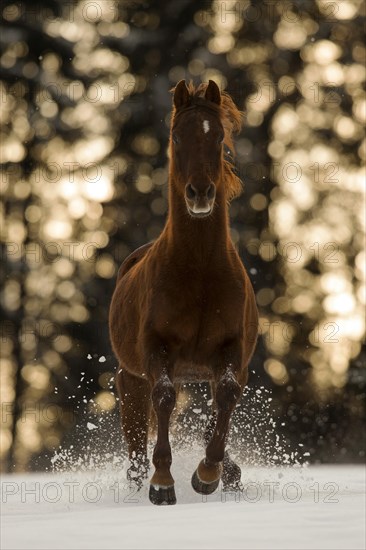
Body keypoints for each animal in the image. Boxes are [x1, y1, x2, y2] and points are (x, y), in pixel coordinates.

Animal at [110, 80, 258, 506]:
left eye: (219, 137)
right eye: (177, 136)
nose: (200, 193)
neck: (200, 270)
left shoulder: (232, 353)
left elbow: (226, 397)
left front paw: (208, 474)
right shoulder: (156, 350)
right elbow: (163, 398)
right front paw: (162, 483)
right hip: (130, 378)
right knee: (135, 444)